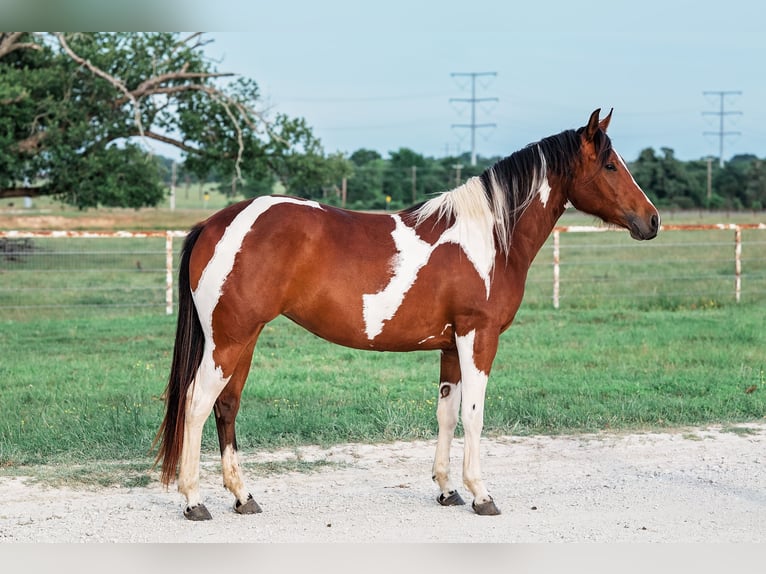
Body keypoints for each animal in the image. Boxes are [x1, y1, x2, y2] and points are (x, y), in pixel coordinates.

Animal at [154, 108, 659, 520]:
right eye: (610, 165)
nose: (652, 220)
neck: (488, 237)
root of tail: (214, 224)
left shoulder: (451, 346)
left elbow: (447, 413)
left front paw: (447, 490)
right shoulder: (478, 337)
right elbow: (474, 414)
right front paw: (481, 495)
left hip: (244, 338)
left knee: (226, 406)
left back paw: (243, 497)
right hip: (229, 340)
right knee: (197, 403)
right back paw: (194, 501)